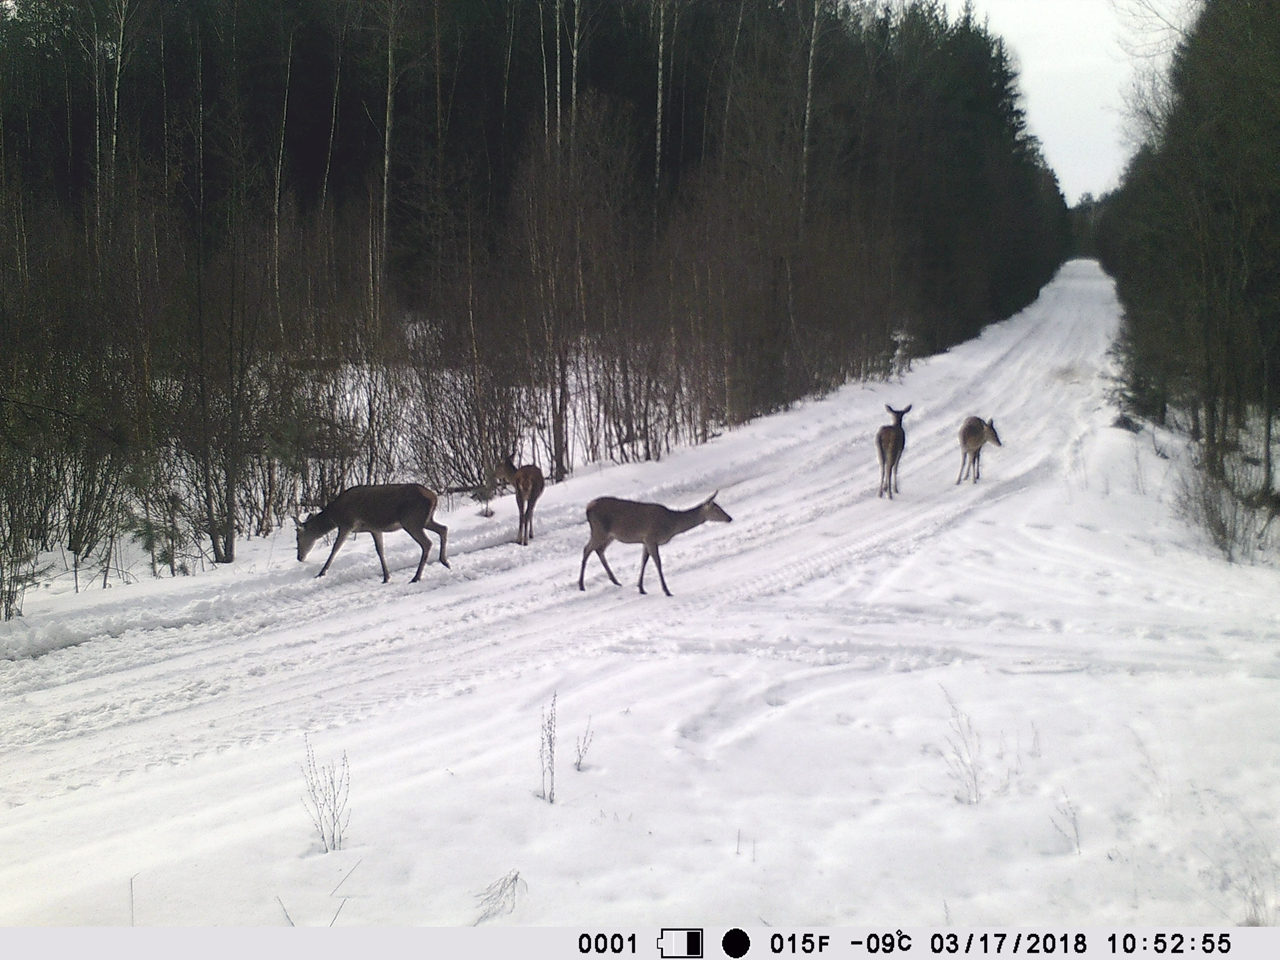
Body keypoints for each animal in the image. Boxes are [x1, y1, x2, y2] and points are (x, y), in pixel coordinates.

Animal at [294, 483, 450, 583]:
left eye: (298, 538)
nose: (299, 558)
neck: (333, 517)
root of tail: (434, 497)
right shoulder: (374, 528)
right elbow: (380, 550)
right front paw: (386, 577)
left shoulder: (347, 524)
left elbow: (335, 549)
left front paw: (321, 573)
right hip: (425, 520)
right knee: (443, 529)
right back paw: (444, 561)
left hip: (411, 521)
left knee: (427, 543)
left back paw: (416, 577)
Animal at [578, 491, 732, 599]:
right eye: (717, 509)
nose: (729, 518)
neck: (672, 524)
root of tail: (587, 508)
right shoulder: (651, 537)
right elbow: (658, 563)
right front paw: (667, 590)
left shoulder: (646, 540)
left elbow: (644, 561)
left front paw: (640, 587)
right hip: (600, 530)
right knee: (587, 549)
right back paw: (581, 585)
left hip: (610, 535)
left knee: (599, 550)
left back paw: (615, 580)